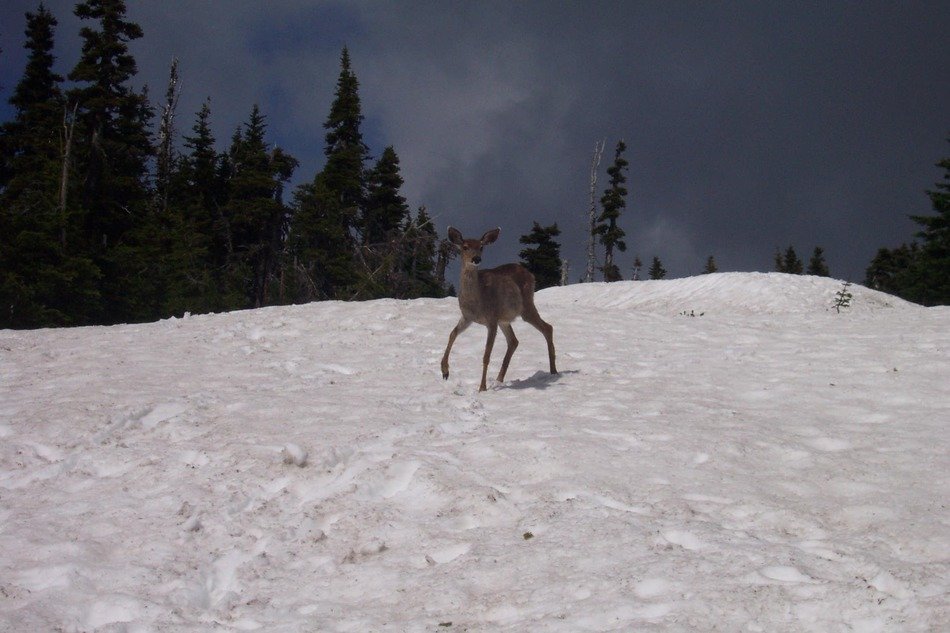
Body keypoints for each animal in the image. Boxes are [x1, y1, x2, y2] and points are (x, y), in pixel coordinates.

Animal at [441, 227, 557, 392]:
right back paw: (498, 380)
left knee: (547, 327)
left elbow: (486, 355)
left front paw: (482, 388)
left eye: (481, 247)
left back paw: (553, 371)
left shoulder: (491, 319)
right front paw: (444, 371)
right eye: (465, 247)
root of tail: (530, 274)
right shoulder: (468, 317)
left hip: (526, 306)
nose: (476, 259)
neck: (477, 300)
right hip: (505, 319)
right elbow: (452, 334)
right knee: (514, 341)